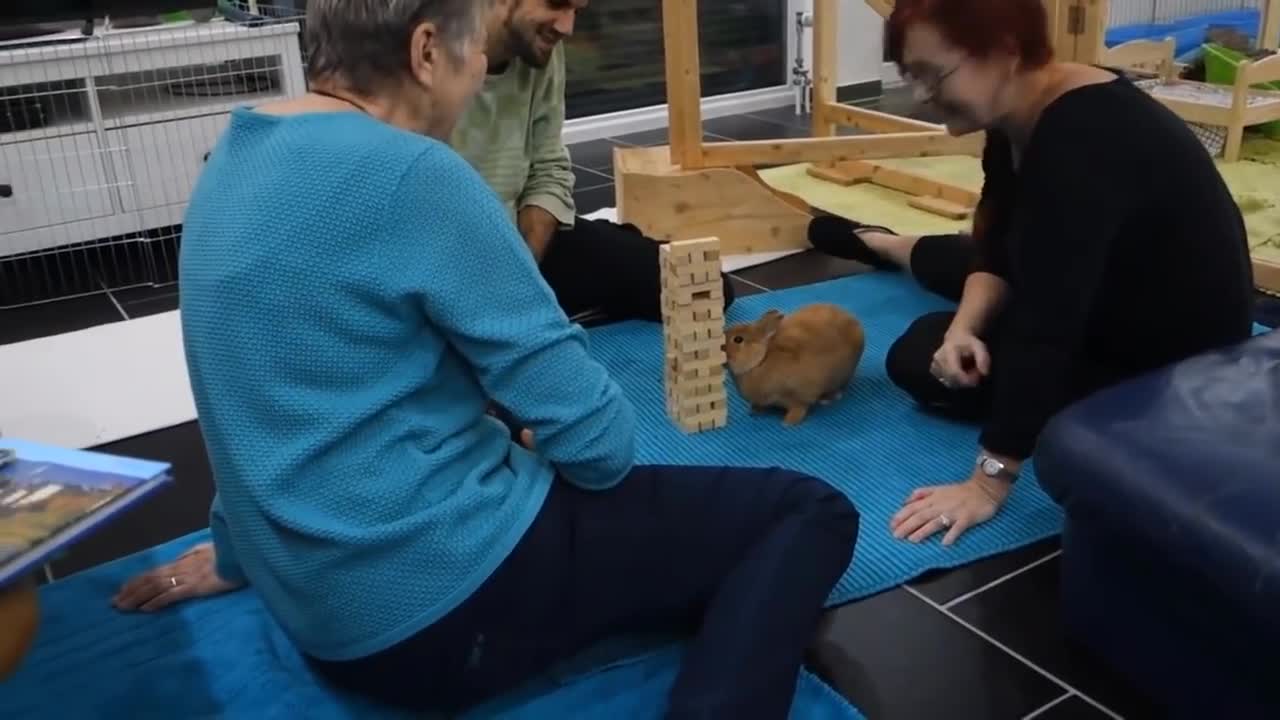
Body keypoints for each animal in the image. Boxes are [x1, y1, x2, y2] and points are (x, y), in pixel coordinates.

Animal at [727, 302, 865, 425]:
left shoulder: (799, 396)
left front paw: (788, 423)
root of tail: (856, 323)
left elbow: (799, 408)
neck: (760, 361)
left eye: (738, 339)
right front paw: (754, 410)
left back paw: (827, 399)